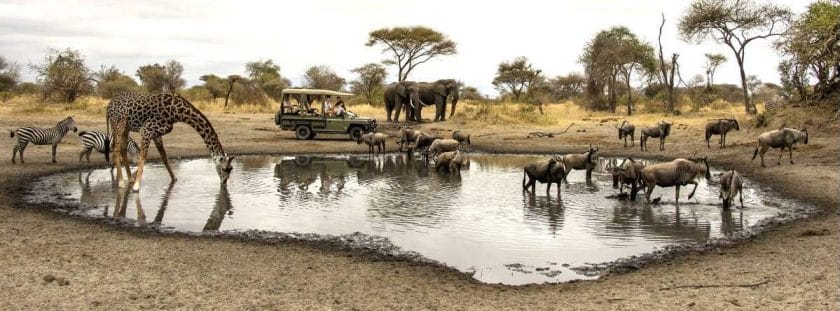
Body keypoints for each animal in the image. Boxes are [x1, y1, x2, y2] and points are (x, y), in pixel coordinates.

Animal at [107, 92, 236, 193]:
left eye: (231, 169)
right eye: (225, 169)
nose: (224, 182)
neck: (177, 113)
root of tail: (108, 106)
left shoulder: (156, 134)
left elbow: (164, 156)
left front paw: (174, 179)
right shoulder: (146, 130)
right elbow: (142, 157)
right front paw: (136, 187)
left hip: (126, 127)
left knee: (122, 148)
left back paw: (129, 179)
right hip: (118, 123)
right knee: (116, 148)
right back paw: (121, 182)